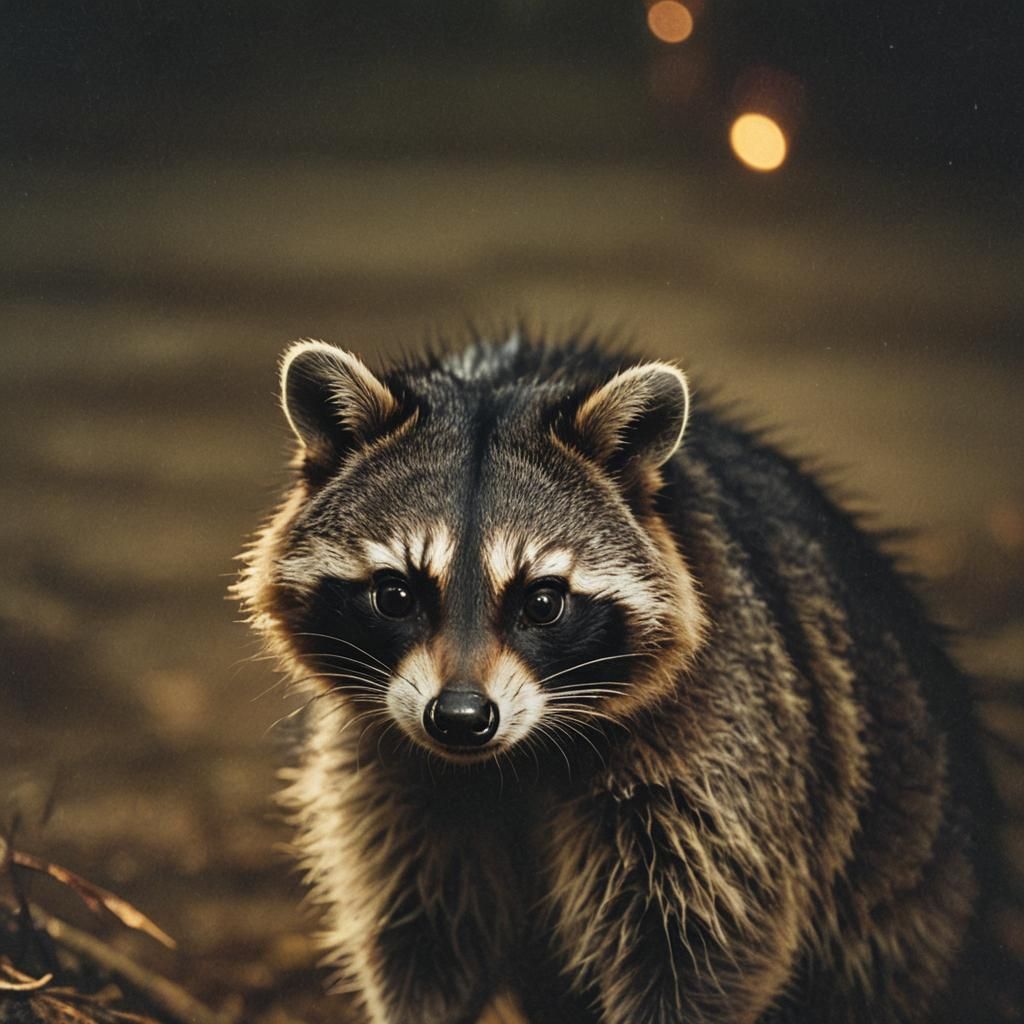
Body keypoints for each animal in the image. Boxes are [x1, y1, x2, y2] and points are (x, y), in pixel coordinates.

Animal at [236, 332, 1003, 1024]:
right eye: (396, 595)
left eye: (543, 601)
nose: (460, 719)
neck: (514, 756)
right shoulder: (392, 772)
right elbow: (424, 941)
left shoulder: (722, 740)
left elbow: (700, 948)